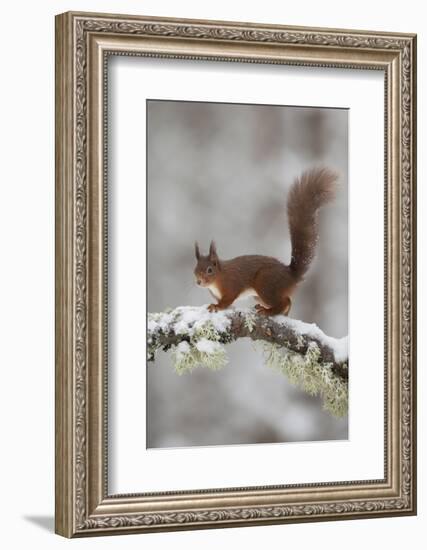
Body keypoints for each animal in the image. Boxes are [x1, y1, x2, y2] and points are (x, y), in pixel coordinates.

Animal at [194, 167, 338, 314]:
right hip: (260, 294)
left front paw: (216, 306)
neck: (218, 277)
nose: (198, 282)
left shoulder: (232, 285)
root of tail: (291, 276)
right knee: (287, 301)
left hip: (265, 283)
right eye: (195, 269)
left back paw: (269, 311)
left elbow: (227, 300)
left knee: (284, 301)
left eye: (209, 270)